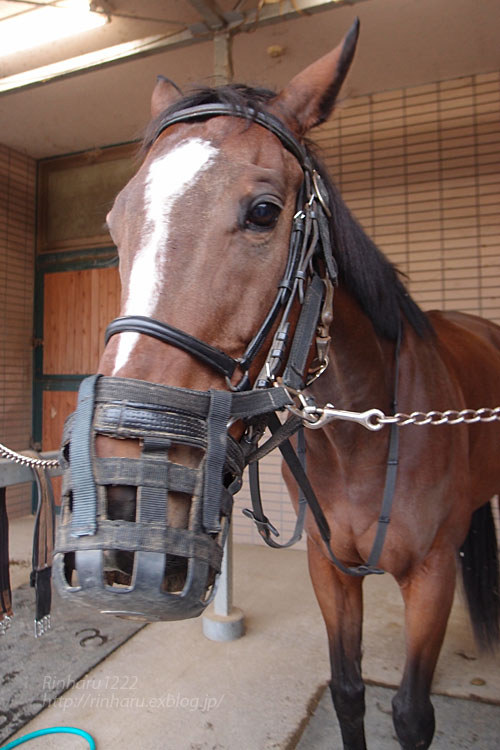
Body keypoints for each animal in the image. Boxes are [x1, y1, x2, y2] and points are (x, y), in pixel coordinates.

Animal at [54, 20, 500, 748]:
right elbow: (347, 691)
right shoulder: (327, 565)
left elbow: (411, 713)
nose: (120, 498)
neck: (362, 434)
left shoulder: (431, 574)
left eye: (264, 211)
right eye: (116, 222)